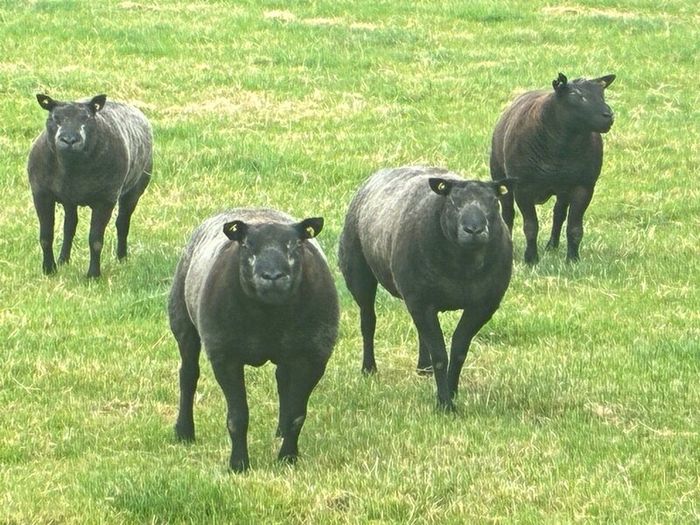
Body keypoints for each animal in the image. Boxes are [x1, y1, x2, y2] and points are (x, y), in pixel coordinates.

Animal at [27, 93, 152, 278]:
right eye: (55, 118)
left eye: (86, 118)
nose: (69, 140)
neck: (71, 169)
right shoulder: (41, 193)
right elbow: (46, 236)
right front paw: (49, 270)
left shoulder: (105, 199)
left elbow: (95, 240)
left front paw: (93, 274)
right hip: (69, 200)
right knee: (70, 226)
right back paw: (63, 260)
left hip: (136, 188)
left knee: (122, 223)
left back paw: (121, 258)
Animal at [169, 208, 339, 472]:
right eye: (247, 245)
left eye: (296, 245)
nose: (272, 276)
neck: (268, 316)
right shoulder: (225, 356)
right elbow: (238, 417)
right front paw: (238, 465)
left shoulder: (313, 356)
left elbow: (297, 415)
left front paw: (288, 458)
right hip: (182, 321)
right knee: (188, 375)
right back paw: (184, 432)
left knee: (282, 380)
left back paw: (280, 432)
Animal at [338, 166, 515, 412]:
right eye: (453, 202)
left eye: (494, 202)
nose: (474, 229)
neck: (463, 267)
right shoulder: (420, 300)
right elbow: (440, 354)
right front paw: (445, 404)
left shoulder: (482, 305)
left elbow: (458, 351)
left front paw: (451, 391)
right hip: (358, 272)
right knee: (368, 321)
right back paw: (369, 369)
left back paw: (424, 368)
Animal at [490, 72, 616, 264]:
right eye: (575, 95)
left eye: (602, 93)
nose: (608, 115)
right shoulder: (523, 188)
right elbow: (530, 226)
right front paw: (531, 259)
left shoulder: (584, 186)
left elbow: (574, 227)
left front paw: (573, 259)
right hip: (500, 177)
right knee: (508, 215)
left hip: (563, 188)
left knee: (558, 213)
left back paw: (552, 245)